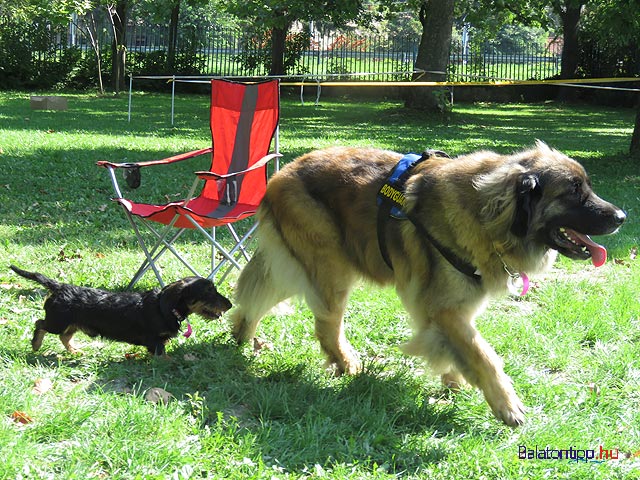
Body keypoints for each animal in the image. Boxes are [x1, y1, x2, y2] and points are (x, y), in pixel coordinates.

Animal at [9, 266, 232, 356]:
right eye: (209, 292)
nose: (230, 305)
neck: (164, 308)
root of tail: (59, 286)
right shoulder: (154, 341)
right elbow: (163, 356)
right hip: (58, 321)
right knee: (40, 324)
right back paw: (36, 345)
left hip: (73, 324)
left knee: (64, 336)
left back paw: (74, 350)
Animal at [230, 141, 624, 426]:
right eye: (573, 192)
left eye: (588, 187)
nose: (621, 216)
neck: (486, 215)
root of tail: (281, 174)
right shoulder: (445, 309)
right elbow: (484, 355)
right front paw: (506, 405)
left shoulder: (450, 309)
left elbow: (458, 350)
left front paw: (455, 383)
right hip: (332, 268)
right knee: (326, 326)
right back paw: (346, 364)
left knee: (256, 296)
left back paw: (242, 337)